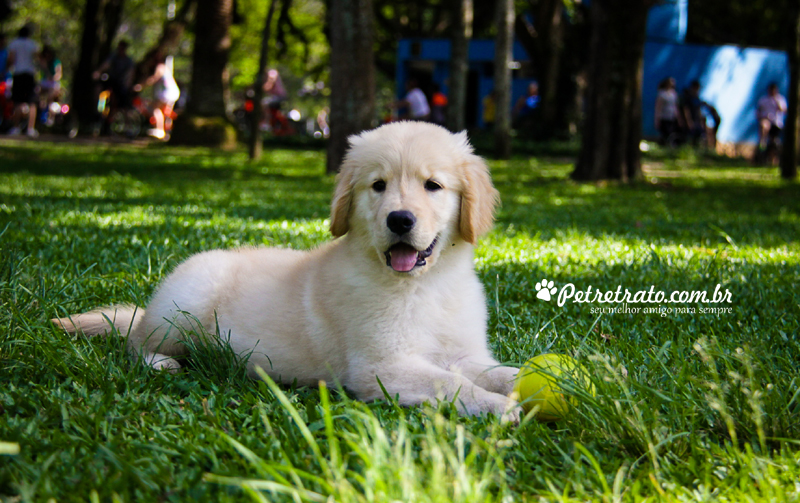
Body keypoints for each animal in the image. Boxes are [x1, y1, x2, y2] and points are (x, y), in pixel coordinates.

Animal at [54, 123, 520, 422]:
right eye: (378, 186)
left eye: (433, 186)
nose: (400, 220)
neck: (424, 286)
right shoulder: (379, 367)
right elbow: (449, 385)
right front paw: (500, 407)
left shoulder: (464, 355)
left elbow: (498, 372)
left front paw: (533, 380)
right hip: (184, 306)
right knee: (135, 343)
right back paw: (160, 363)